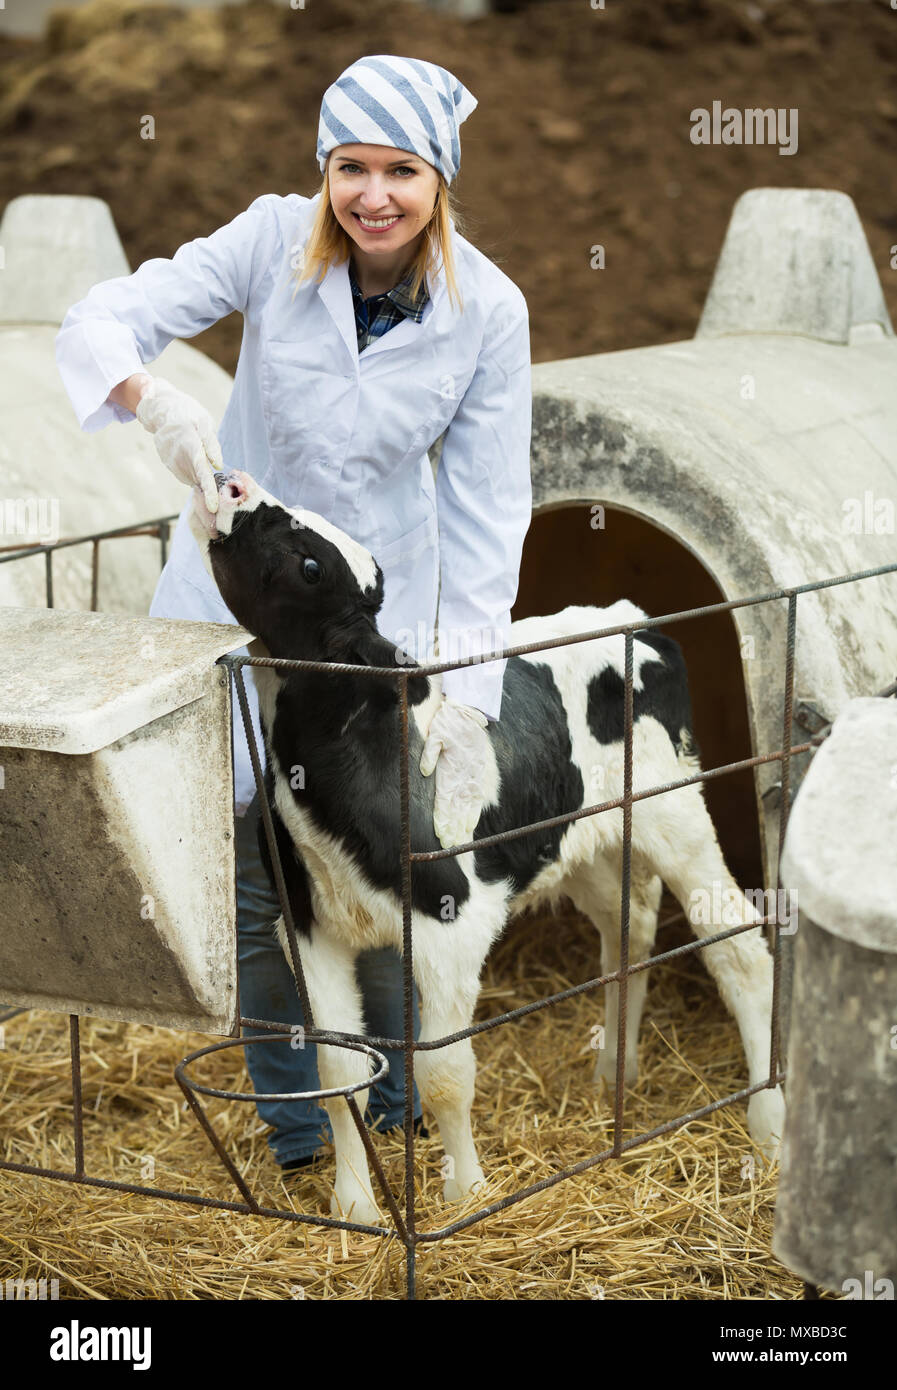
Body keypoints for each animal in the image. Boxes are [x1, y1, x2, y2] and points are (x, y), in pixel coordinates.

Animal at [188, 469, 785, 1226]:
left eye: (311, 565)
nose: (231, 481)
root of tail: (632, 616)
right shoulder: (309, 923)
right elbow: (339, 1072)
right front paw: (353, 1205)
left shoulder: (452, 919)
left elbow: (445, 1071)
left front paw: (464, 1192)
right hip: (579, 841)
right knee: (630, 929)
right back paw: (612, 1074)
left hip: (674, 809)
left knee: (738, 949)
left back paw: (767, 1124)